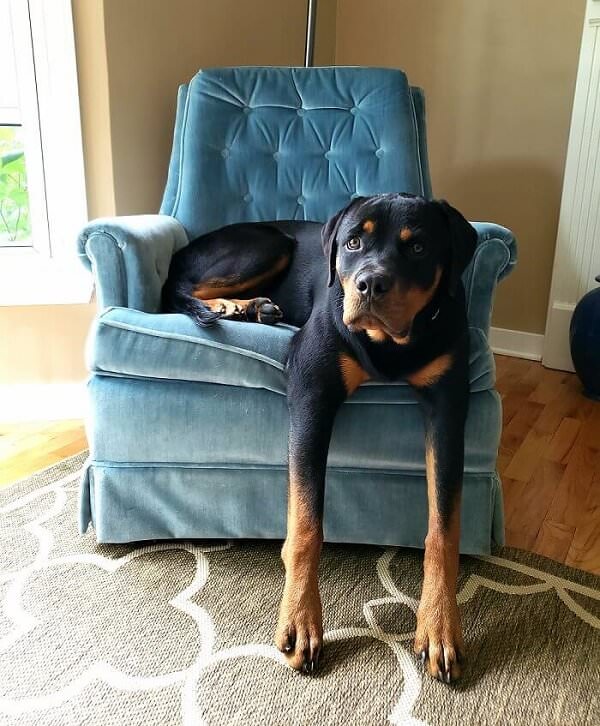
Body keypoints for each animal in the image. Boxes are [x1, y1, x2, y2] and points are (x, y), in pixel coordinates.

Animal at [161, 192, 478, 684]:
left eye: (419, 247)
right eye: (353, 242)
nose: (369, 284)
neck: (390, 344)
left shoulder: (447, 407)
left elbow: (444, 528)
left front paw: (441, 626)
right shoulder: (312, 392)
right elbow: (306, 522)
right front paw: (300, 620)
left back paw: (250, 308)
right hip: (270, 242)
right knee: (184, 289)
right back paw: (236, 307)